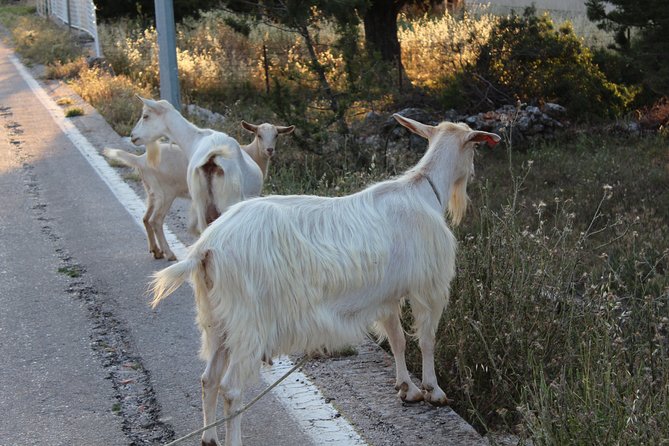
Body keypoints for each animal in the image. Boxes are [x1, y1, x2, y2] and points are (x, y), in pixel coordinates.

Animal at [149, 114, 498, 446]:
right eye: (474, 147)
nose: (474, 175)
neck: (423, 189)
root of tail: (207, 246)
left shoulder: (385, 294)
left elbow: (397, 339)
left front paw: (406, 388)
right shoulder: (428, 286)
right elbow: (426, 339)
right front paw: (433, 390)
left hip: (217, 320)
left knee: (208, 378)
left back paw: (208, 437)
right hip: (248, 323)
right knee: (231, 388)